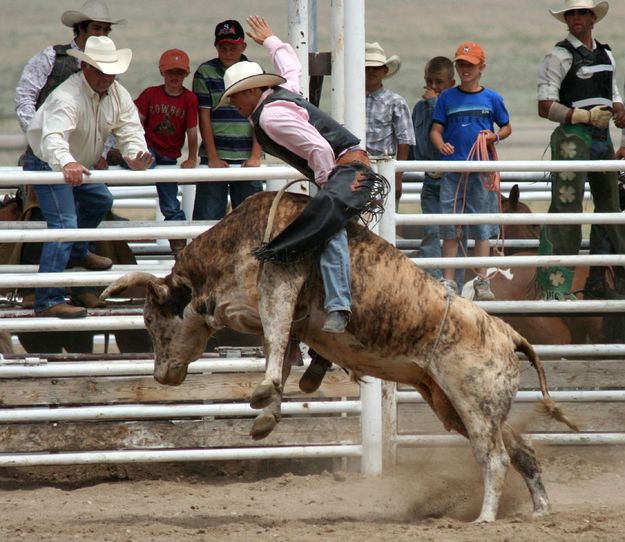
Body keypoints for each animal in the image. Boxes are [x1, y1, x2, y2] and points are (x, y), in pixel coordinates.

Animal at [101, 190, 576, 524]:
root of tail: (507, 332)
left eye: (149, 319)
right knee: (520, 449)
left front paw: (264, 391)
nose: (161, 376)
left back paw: (485, 518)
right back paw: (541, 510)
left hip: (474, 400)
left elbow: (274, 331)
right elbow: (280, 346)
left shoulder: (280, 280)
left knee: (494, 457)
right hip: (454, 404)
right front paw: (269, 411)